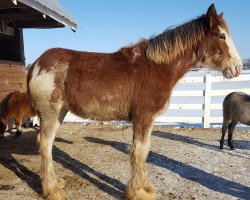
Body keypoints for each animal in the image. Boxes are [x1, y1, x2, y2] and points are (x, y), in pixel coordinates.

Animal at [27, 4, 242, 200]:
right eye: (221, 36)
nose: (238, 68)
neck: (157, 67)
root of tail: (37, 64)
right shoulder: (143, 117)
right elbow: (139, 152)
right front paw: (137, 192)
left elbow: (144, 151)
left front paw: (145, 187)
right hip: (49, 112)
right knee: (45, 144)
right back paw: (52, 190)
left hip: (59, 113)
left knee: (47, 144)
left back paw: (56, 182)